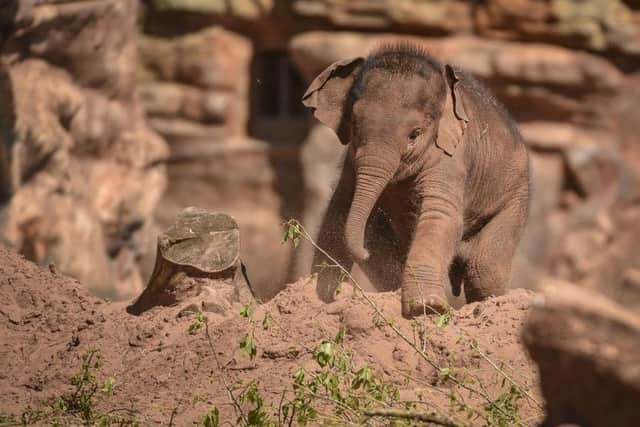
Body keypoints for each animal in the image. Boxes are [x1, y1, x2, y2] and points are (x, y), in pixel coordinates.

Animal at [302, 43, 530, 318]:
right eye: (355, 125)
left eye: (415, 134)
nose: (363, 252)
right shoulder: (351, 162)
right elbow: (340, 206)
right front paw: (320, 296)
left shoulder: (450, 158)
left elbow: (440, 214)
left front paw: (427, 308)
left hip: (516, 198)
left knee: (484, 269)